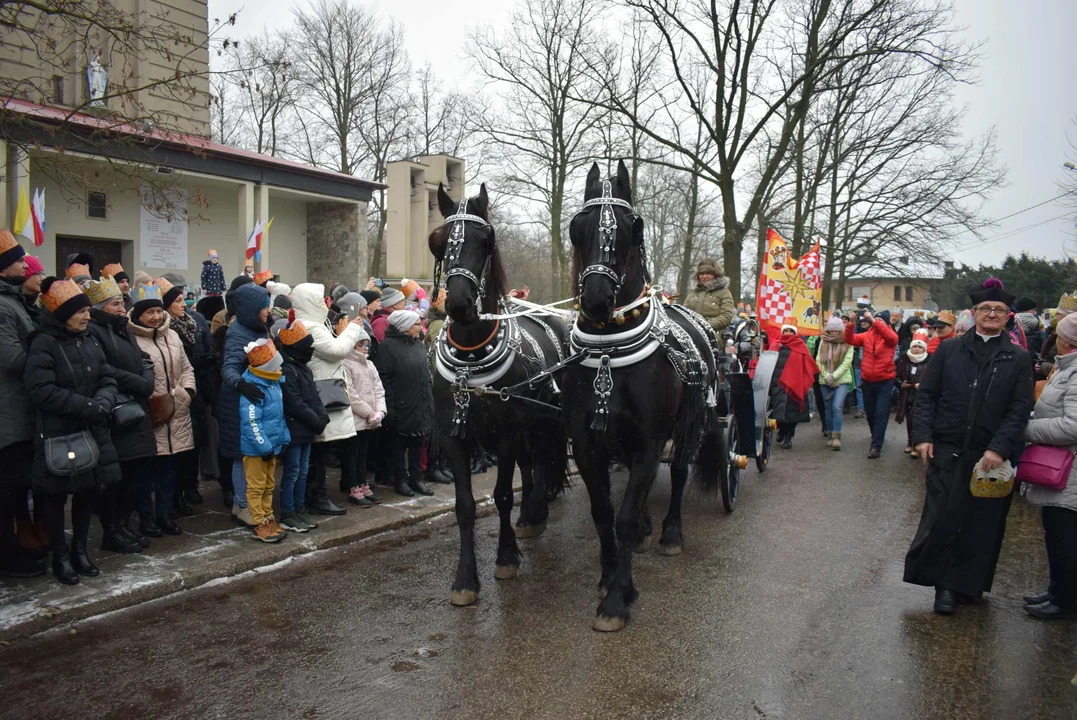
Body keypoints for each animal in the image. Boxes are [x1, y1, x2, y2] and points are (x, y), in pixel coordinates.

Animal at [426, 180, 572, 606]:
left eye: (485, 240)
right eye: (439, 242)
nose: (458, 304)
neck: (472, 355)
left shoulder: (506, 431)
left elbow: (504, 493)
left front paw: (506, 557)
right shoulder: (454, 435)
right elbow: (464, 506)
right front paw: (465, 580)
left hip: (543, 420)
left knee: (540, 461)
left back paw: (533, 513)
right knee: (532, 463)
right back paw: (530, 517)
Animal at [564, 161, 723, 628]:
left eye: (633, 228)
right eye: (576, 228)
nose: (597, 300)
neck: (608, 352)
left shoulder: (651, 441)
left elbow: (626, 516)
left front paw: (618, 598)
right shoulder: (587, 444)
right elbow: (604, 513)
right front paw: (607, 576)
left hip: (688, 428)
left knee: (679, 473)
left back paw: (669, 532)